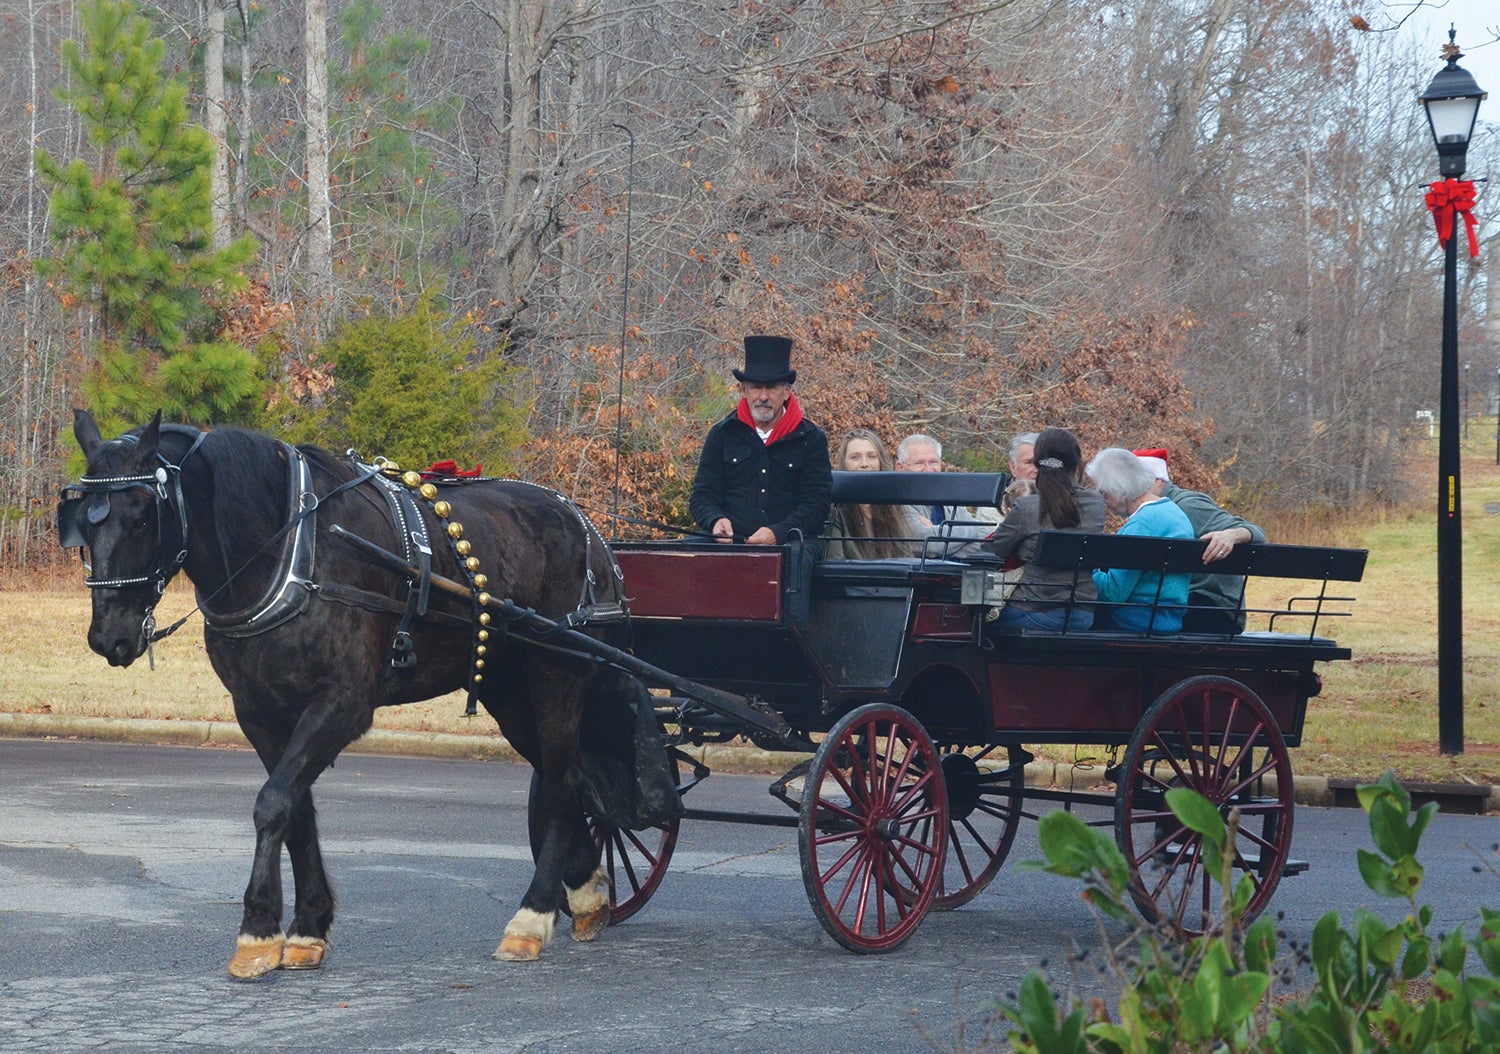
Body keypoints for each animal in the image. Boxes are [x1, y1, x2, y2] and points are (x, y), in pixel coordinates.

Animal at [61, 407, 639, 977]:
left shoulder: (341, 705)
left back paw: (532, 917)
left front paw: (257, 931)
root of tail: (587, 528)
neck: (293, 555)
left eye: (141, 514)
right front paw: (306, 928)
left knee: (561, 782)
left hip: (557, 677)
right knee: (566, 775)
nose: (108, 636)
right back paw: (586, 892)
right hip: (509, 692)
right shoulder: (260, 713)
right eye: (82, 521)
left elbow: (272, 803)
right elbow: (296, 812)